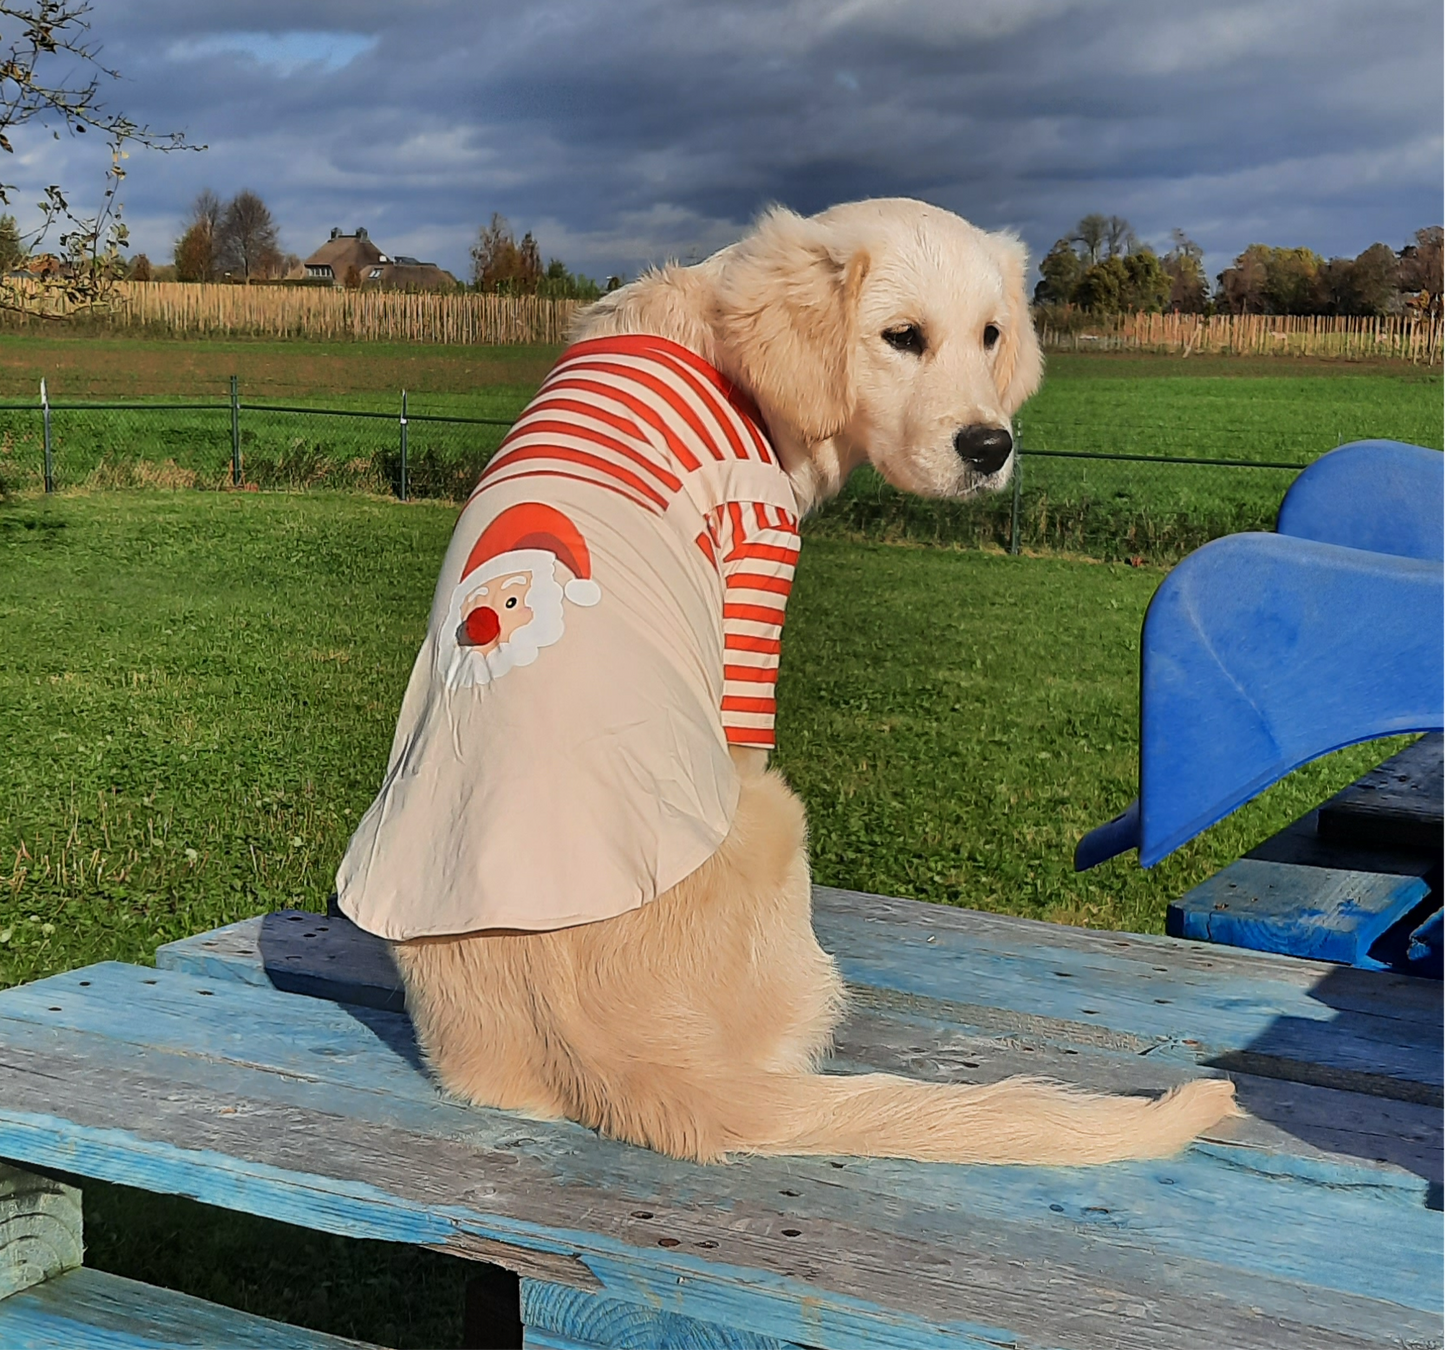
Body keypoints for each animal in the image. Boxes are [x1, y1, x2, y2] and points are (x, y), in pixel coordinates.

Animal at [341, 198, 1242, 1162]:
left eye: (990, 333)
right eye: (901, 337)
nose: (990, 447)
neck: (724, 354)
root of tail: (632, 1060)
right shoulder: (757, 565)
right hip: (779, 818)